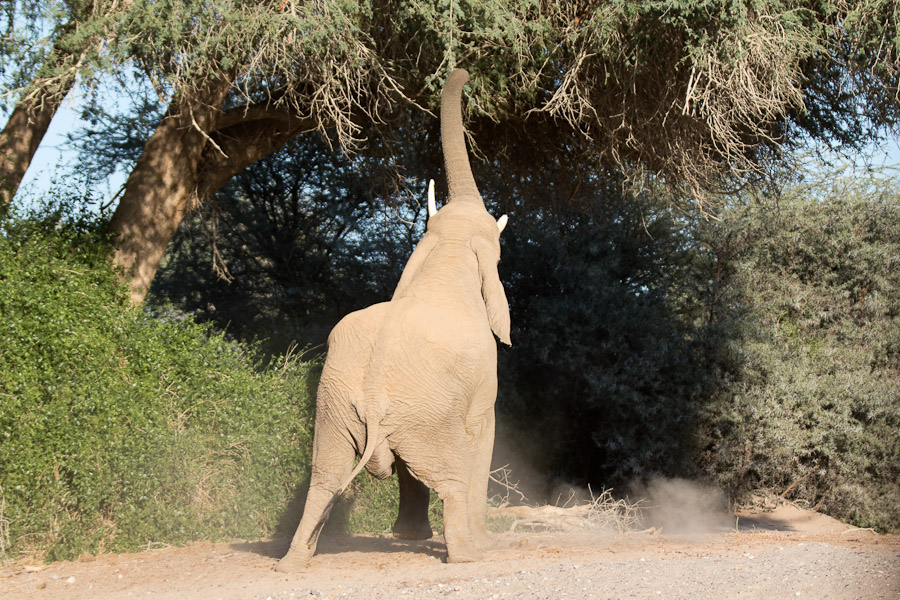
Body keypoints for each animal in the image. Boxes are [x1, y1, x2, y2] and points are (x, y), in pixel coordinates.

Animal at [274, 70, 510, 572]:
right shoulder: (482, 385)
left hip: (339, 406)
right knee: (454, 477)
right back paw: (468, 556)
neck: (448, 251)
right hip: (428, 416)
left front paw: (409, 538)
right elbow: (483, 437)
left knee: (324, 477)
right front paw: (479, 545)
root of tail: (372, 398)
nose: (465, 71)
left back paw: (292, 563)